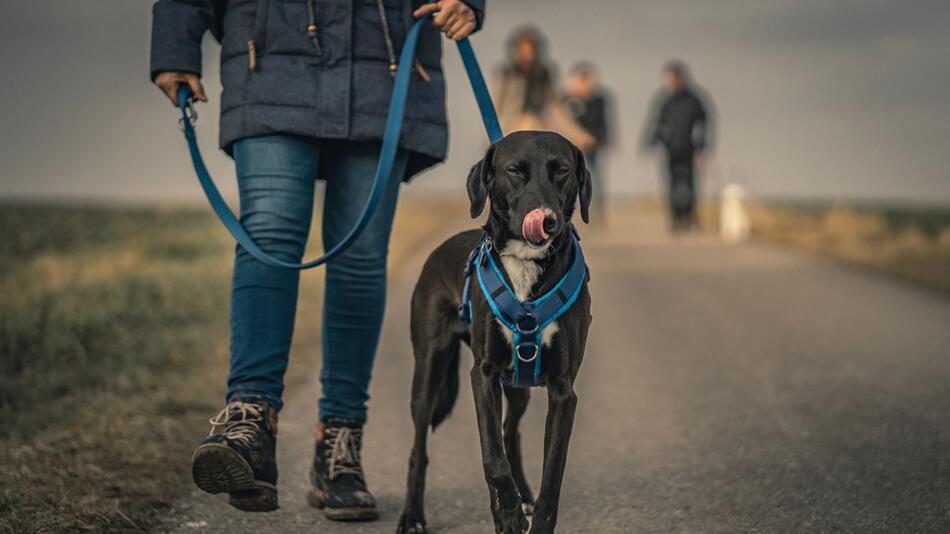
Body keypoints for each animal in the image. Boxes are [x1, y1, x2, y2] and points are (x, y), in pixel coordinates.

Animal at [398, 131, 592, 534]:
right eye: (515, 171)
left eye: (562, 171)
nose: (547, 221)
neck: (526, 262)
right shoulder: (483, 375)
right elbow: (492, 459)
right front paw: (509, 515)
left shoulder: (563, 391)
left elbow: (552, 472)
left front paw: (530, 514)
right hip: (428, 373)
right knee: (420, 449)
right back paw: (413, 516)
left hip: (518, 386)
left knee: (509, 432)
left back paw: (522, 496)